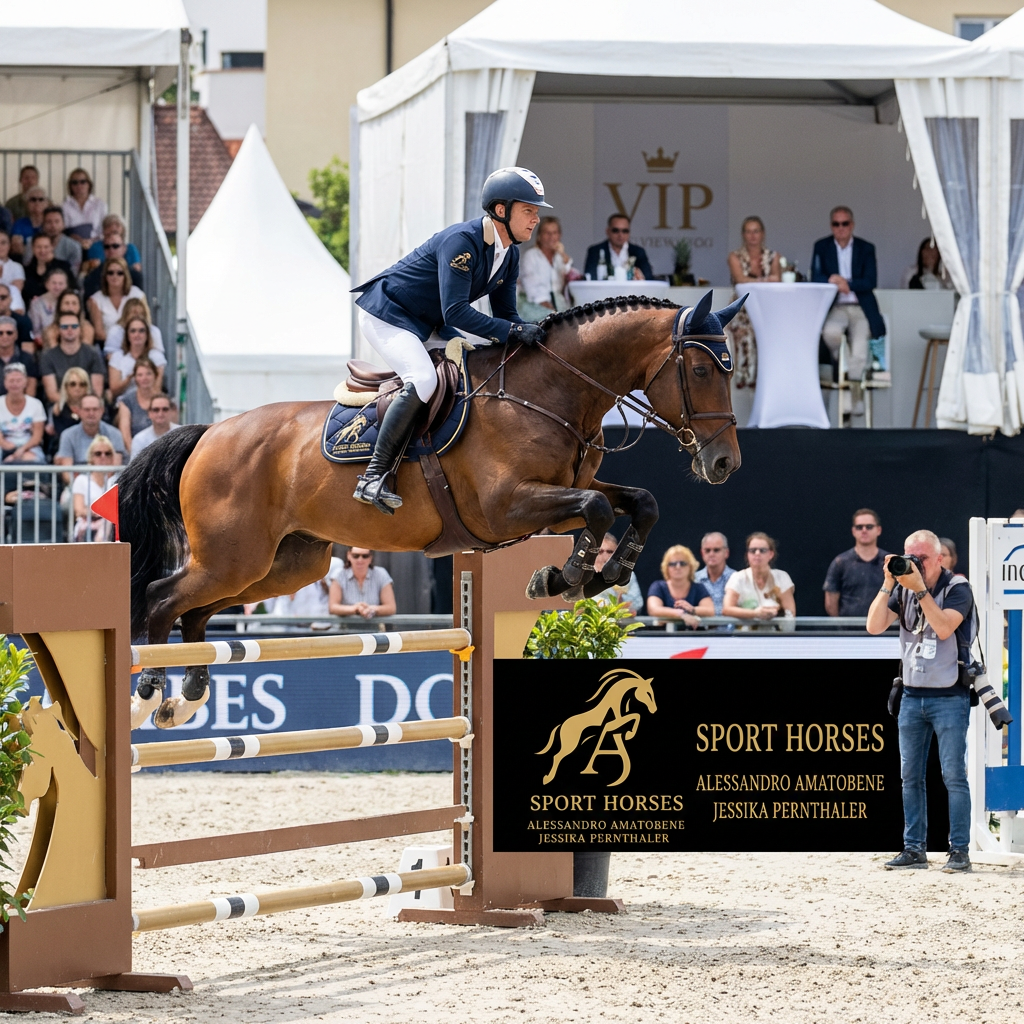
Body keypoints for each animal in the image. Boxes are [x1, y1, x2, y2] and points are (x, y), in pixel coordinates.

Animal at [120, 290, 743, 729]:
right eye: (701, 370)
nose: (724, 463)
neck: (549, 393)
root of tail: (208, 433)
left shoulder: (557, 499)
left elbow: (636, 504)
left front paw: (596, 573)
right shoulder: (507, 506)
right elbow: (596, 510)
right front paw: (563, 577)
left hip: (282, 565)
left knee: (197, 612)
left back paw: (187, 698)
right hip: (235, 556)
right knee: (162, 597)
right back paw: (151, 690)